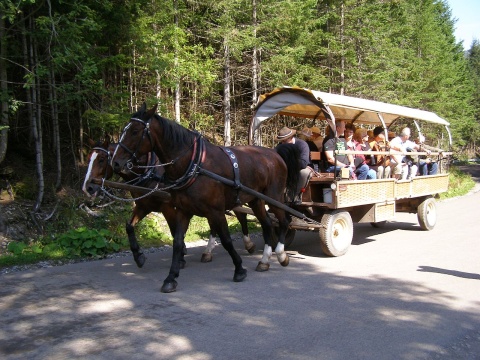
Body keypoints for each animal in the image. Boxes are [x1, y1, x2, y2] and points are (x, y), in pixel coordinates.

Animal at [82, 139, 255, 268]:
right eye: (89, 158)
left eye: (101, 159)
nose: (87, 187)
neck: (150, 172)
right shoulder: (144, 206)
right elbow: (129, 226)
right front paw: (138, 256)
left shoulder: (168, 207)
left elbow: (174, 232)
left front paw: (181, 256)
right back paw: (209, 252)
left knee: (240, 217)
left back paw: (248, 244)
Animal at [112, 103, 300, 292]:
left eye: (135, 131)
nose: (116, 162)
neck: (195, 165)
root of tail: (276, 155)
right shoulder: (182, 210)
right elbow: (177, 242)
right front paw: (171, 277)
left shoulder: (215, 210)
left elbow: (226, 240)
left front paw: (239, 269)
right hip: (256, 200)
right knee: (267, 224)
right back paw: (264, 261)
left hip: (273, 196)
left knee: (284, 221)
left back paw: (281, 254)